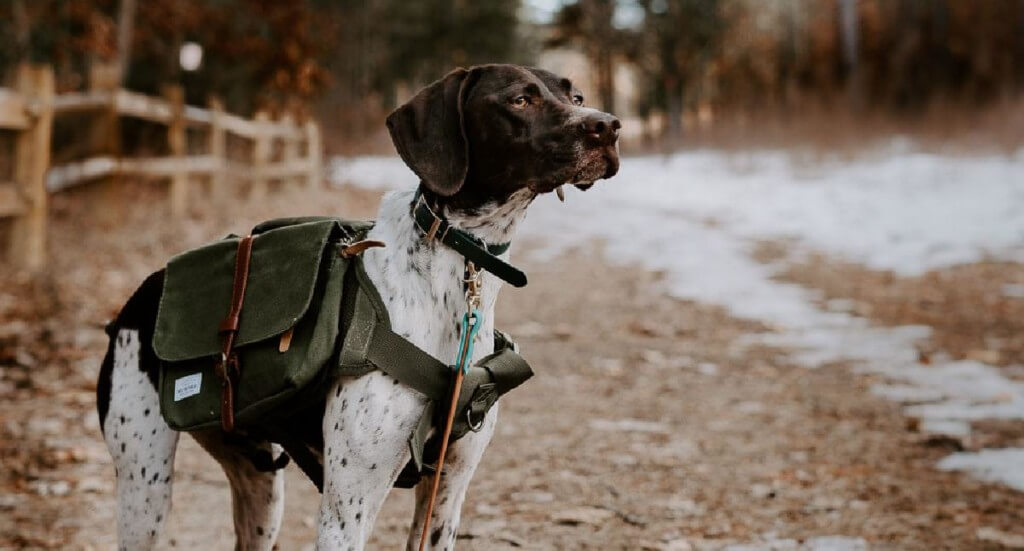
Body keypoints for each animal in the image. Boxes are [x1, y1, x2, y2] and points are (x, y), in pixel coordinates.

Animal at [97, 63, 614, 544]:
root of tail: (139, 296)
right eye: (520, 99)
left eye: (576, 96)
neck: (458, 275)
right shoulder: (347, 512)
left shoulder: (446, 498)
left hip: (260, 489)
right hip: (145, 485)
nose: (607, 126)